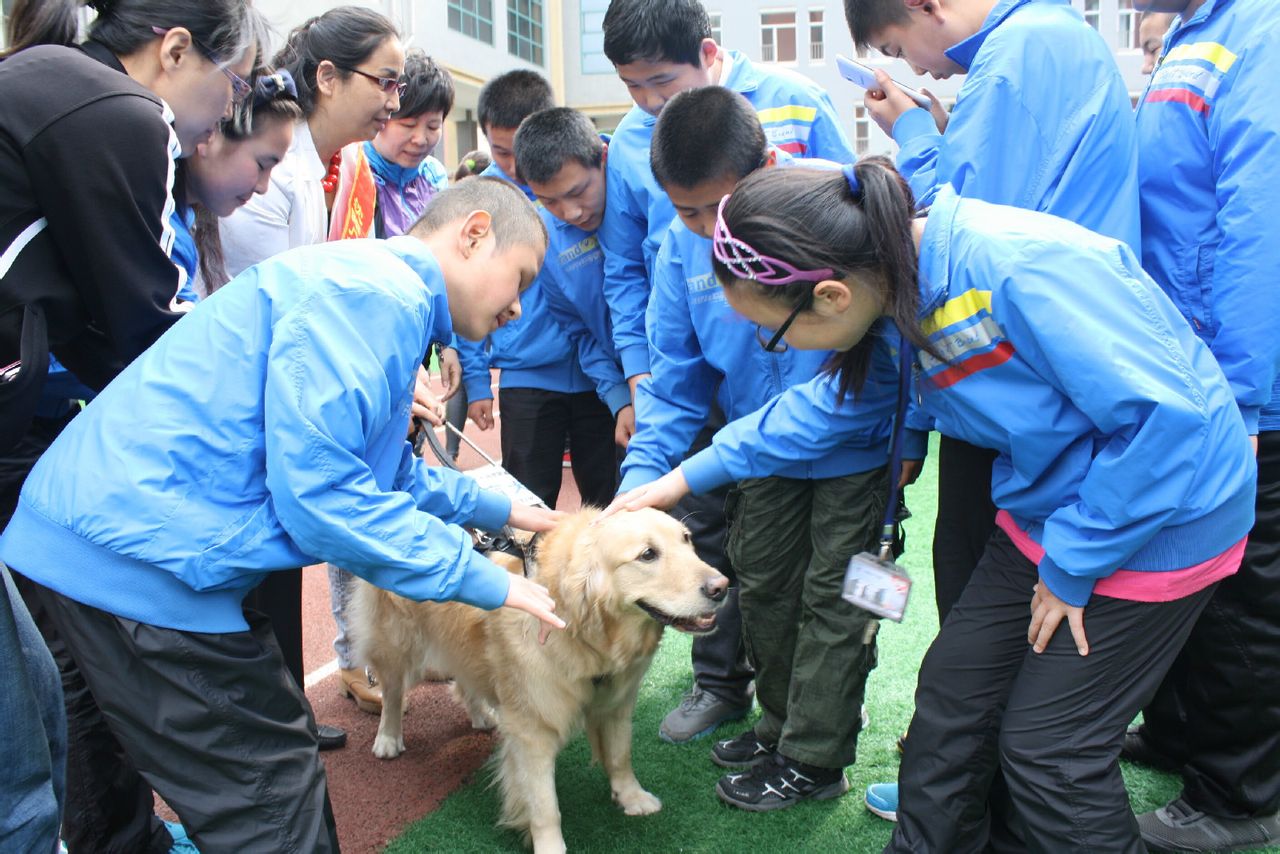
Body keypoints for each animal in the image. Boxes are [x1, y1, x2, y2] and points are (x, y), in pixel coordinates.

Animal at [350, 512, 732, 850]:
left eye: (687, 540)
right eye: (648, 554)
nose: (721, 587)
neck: (586, 633)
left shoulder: (617, 700)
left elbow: (620, 755)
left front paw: (631, 796)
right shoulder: (533, 729)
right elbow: (545, 806)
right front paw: (551, 846)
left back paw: (481, 715)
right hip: (397, 641)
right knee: (393, 691)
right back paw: (388, 737)